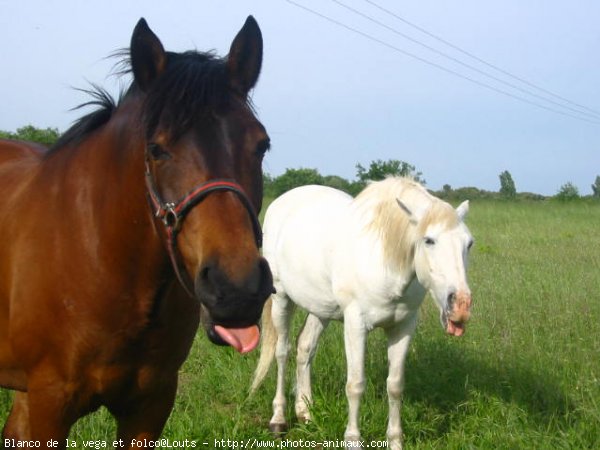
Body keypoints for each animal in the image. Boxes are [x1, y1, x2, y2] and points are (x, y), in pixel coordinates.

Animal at [252, 178, 474, 448]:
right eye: (429, 240)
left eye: (469, 243)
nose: (460, 306)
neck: (384, 261)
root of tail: (282, 201)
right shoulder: (355, 326)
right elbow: (355, 385)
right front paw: (352, 440)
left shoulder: (403, 328)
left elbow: (395, 385)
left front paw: (395, 441)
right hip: (281, 298)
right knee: (281, 352)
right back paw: (279, 419)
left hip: (320, 308)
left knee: (305, 347)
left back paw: (305, 413)